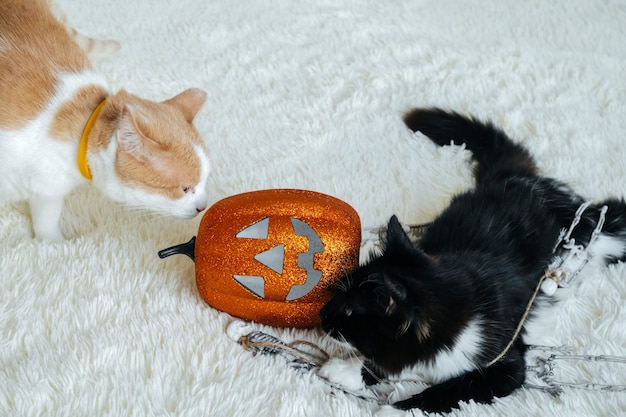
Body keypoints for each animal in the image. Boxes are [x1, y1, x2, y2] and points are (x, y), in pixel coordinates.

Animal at [0, 0, 210, 240]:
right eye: (184, 188)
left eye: (205, 181)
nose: (203, 206)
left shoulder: (47, 189)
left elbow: (46, 219)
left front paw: (51, 242)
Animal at [316, 108, 624, 412]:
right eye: (339, 295)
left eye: (349, 311)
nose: (322, 315)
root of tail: (519, 179)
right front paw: (346, 370)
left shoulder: (505, 364)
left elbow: (449, 390)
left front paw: (393, 409)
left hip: (601, 236)